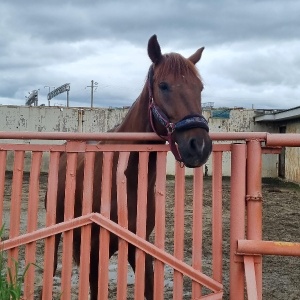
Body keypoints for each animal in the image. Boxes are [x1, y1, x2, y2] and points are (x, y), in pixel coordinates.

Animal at [47, 34, 212, 298]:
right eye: (163, 85)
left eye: (200, 88)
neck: (125, 181)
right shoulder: (95, 249)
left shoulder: (140, 248)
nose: (200, 145)